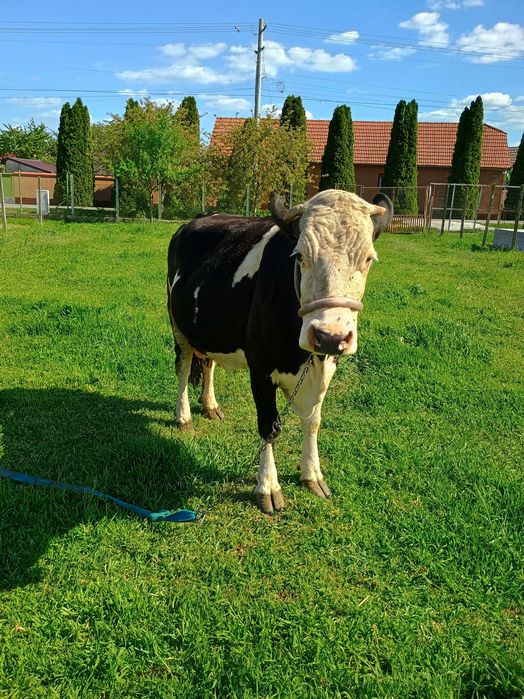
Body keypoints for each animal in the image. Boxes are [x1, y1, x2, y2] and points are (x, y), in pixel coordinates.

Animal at [167, 189, 393, 513]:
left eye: (368, 258)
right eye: (300, 256)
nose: (329, 336)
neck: (303, 358)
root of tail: (200, 217)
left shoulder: (326, 366)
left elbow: (313, 421)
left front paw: (312, 474)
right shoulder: (260, 369)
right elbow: (269, 426)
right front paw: (268, 487)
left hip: (210, 329)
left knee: (208, 364)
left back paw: (210, 406)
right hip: (179, 328)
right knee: (184, 368)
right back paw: (184, 416)